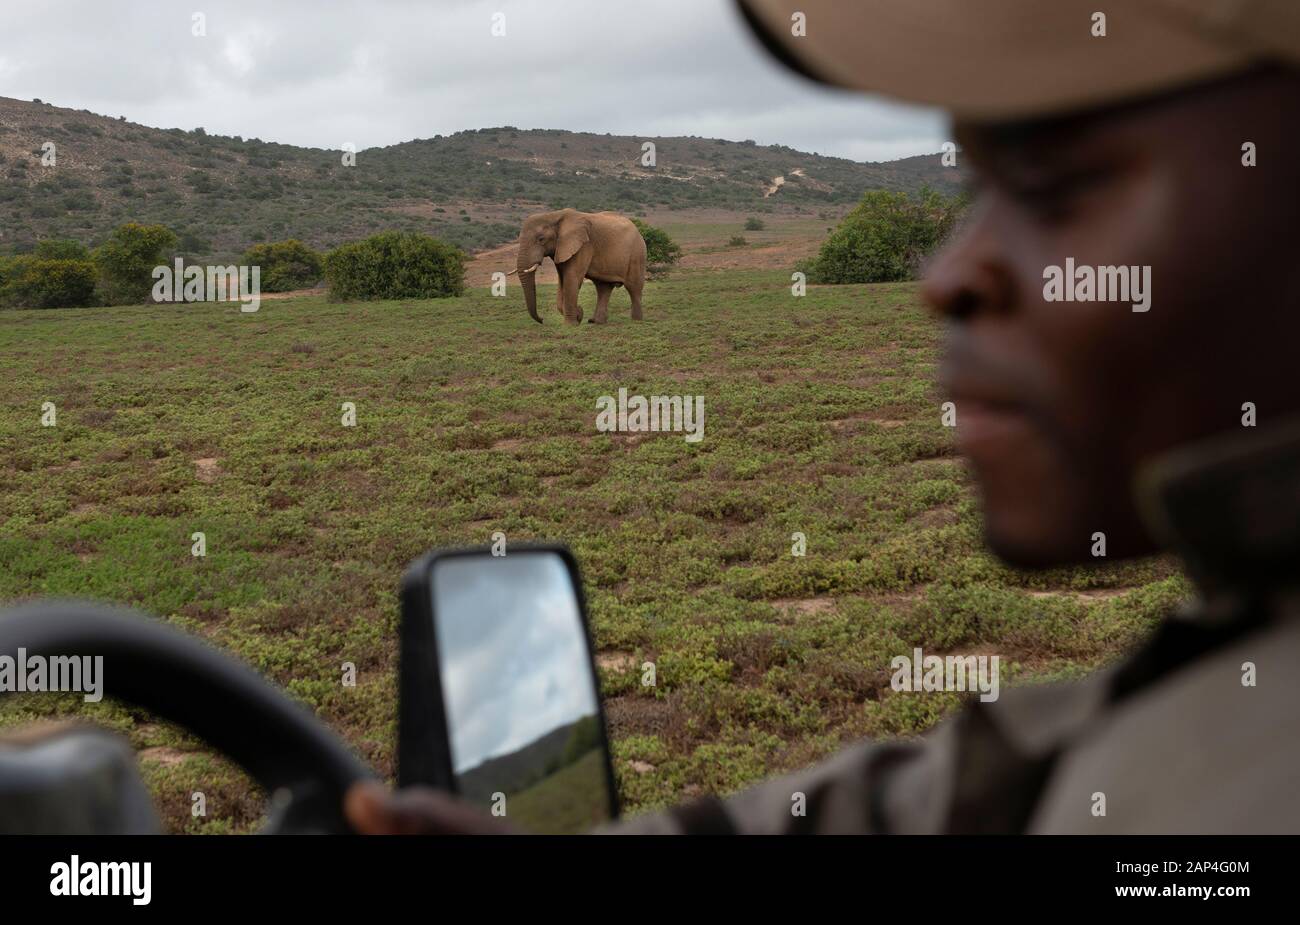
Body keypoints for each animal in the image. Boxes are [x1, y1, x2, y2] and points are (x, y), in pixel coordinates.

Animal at [509, 209, 647, 324]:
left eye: (541, 239)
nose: (542, 319)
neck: (554, 215)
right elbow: (562, 281)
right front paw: (578, 315)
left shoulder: (583, 246)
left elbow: (572, 279)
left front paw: (572, 323)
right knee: (603, 288)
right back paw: (596, 322)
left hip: (637, 254)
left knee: (633, 287)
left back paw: (636, 321)